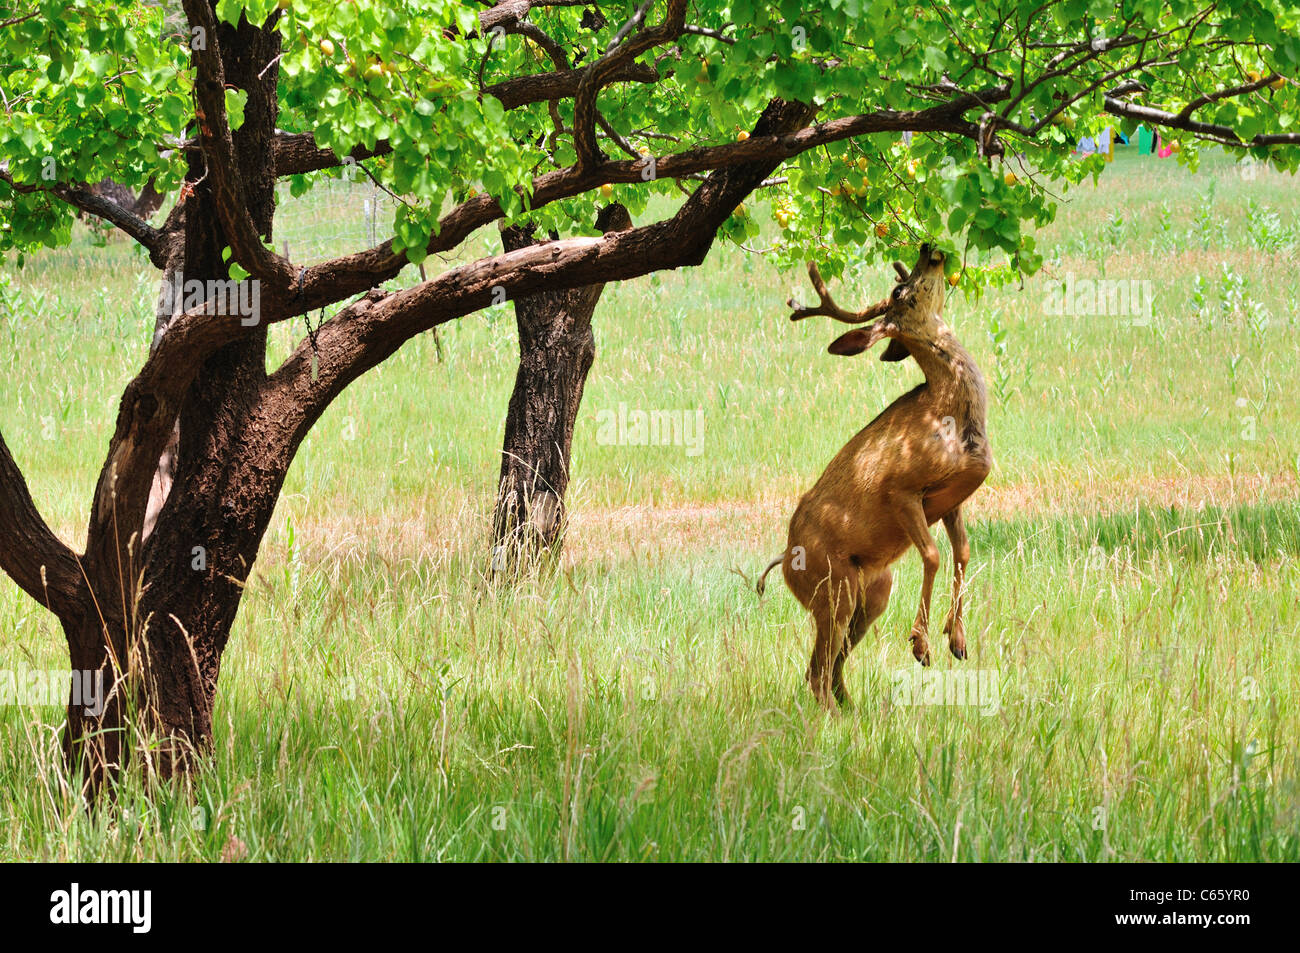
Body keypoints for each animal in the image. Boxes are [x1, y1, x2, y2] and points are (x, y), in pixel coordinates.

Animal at [757, 243, 992, 709]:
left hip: (872, 593)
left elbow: (963, 553)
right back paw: (834, 718)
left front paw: (957, 639)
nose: (928, 248)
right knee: (817, 670)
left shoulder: (956, 497)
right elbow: (933, 555)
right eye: (900, 290)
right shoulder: (902, 488)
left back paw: (850, 710)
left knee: (828, 667)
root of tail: (784, 560)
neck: (951, 420)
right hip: (833, 589)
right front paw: (921, 645)